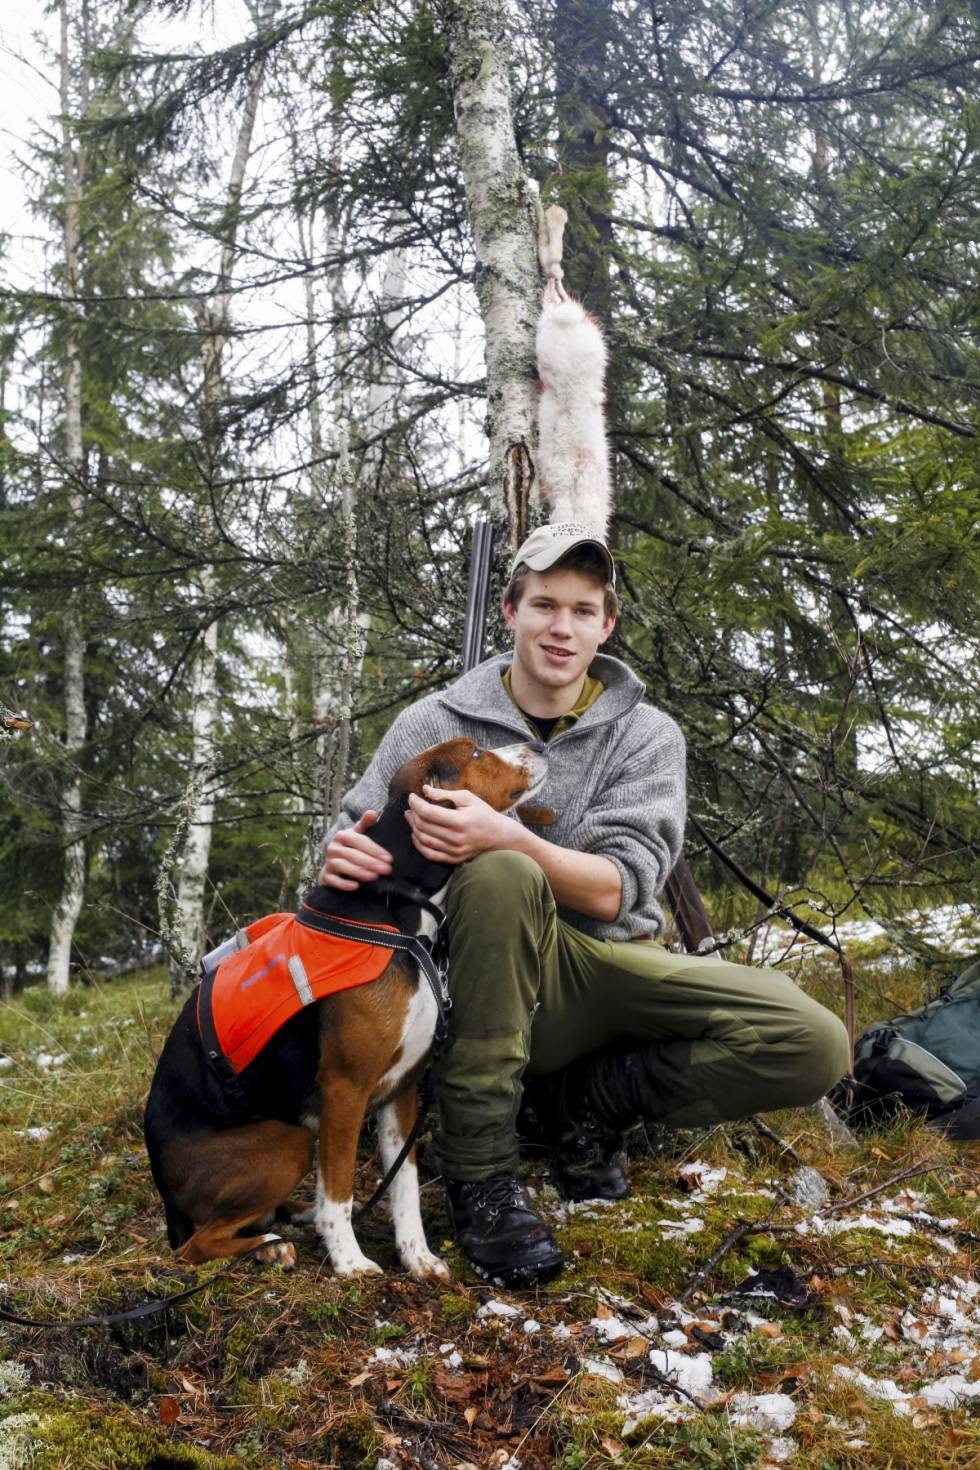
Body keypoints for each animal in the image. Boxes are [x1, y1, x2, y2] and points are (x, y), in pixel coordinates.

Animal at [142, 740, 549, 1281]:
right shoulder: (345, 1088)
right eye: (477, 754)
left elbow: (404, 1189)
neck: (396, 911)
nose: (540, 743)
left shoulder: (401, 1092)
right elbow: (338, 1189)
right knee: (195, 1246)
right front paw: (350, 1261)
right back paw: (268, 1246)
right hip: (287, 1141)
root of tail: (164, 1188)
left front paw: (417, 1257)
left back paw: (294, 1219)